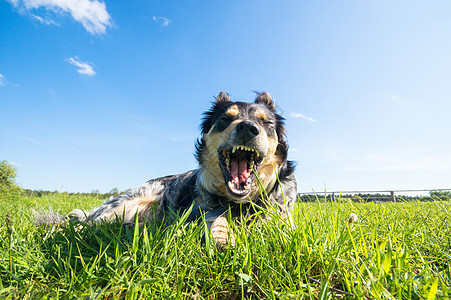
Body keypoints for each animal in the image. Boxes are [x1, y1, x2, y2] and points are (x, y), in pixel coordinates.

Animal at [37, 91, 298, 246]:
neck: (240, 202)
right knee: (80, 225)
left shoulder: (281, 218)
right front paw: (223, 238)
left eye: (266, 122)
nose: (247, 128)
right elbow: (215, 220)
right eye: (225, 119)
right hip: (121, 205)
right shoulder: (200, 213)